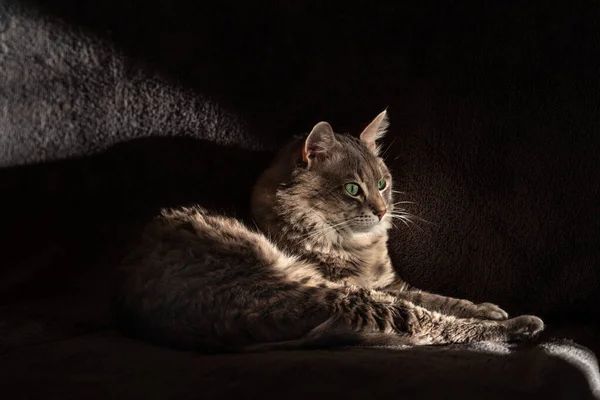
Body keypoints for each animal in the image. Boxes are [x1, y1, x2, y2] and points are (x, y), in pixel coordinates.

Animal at [115, 111, 548, 352]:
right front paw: (500, 316)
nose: (383, 210)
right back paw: (522, 325)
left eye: (383, 184)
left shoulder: (391, 284)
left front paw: (486, 305)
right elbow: (437, 307)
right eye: (353, 189)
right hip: (333, 296)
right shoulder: (371, 288)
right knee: (432, 326)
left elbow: (443, 297)